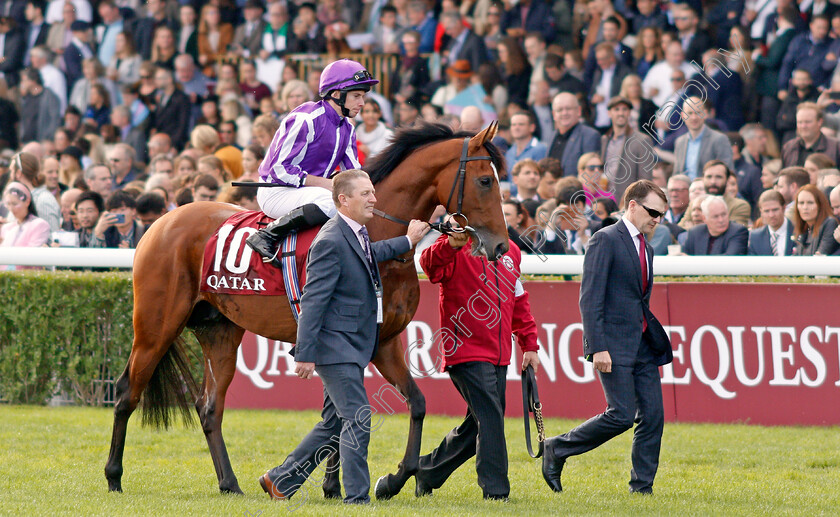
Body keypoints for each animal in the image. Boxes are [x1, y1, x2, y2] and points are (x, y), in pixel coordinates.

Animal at [105, 122, 512, 500]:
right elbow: (345, 412)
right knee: (127, 392)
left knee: (209, 408)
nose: (501, 245)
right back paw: (113, 477)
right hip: (156, 325)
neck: (376, 235)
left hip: (220, 331)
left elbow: (413, 404)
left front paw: (384, 481)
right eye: (485, 180)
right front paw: (342, 484)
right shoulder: (355, 341)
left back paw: (229, 484)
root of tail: (162, 221)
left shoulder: (383, 341)